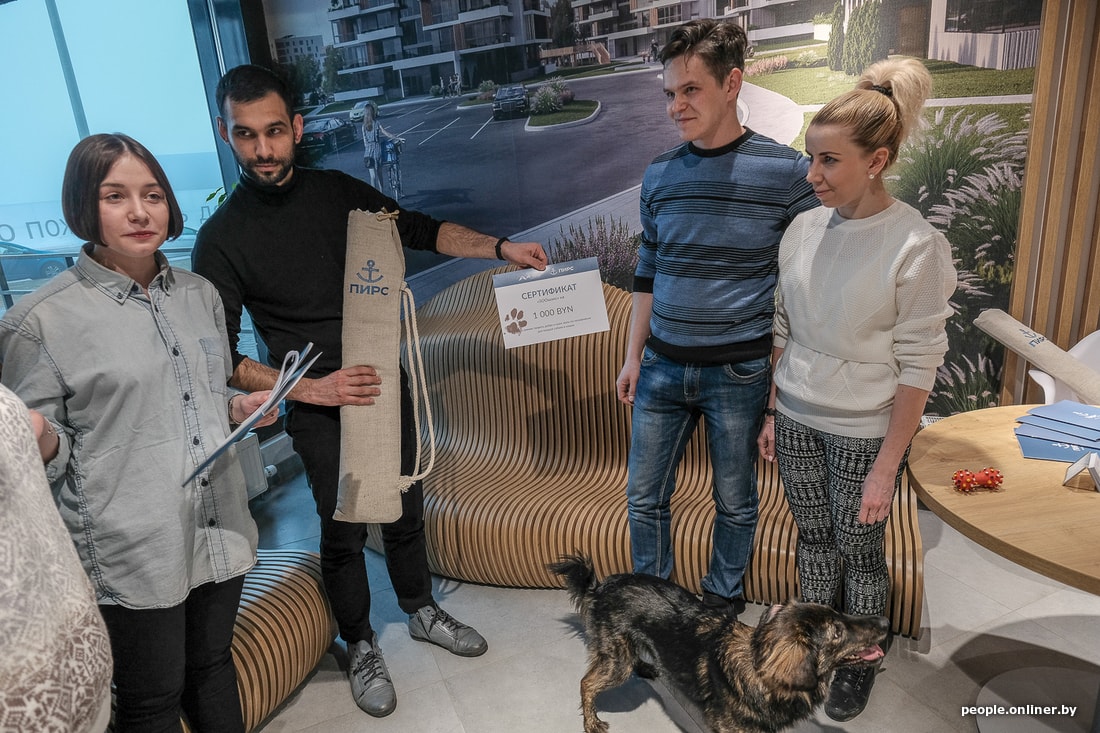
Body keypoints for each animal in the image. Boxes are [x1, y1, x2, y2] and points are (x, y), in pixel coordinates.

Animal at [548, 554, 889, 733]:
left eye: (838, 612)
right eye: (837, 631)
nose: (886, 622)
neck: (760, 672)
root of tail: (599, 588)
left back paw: (645, 665)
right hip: (616, 662)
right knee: (587, 683)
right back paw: (591, 722)